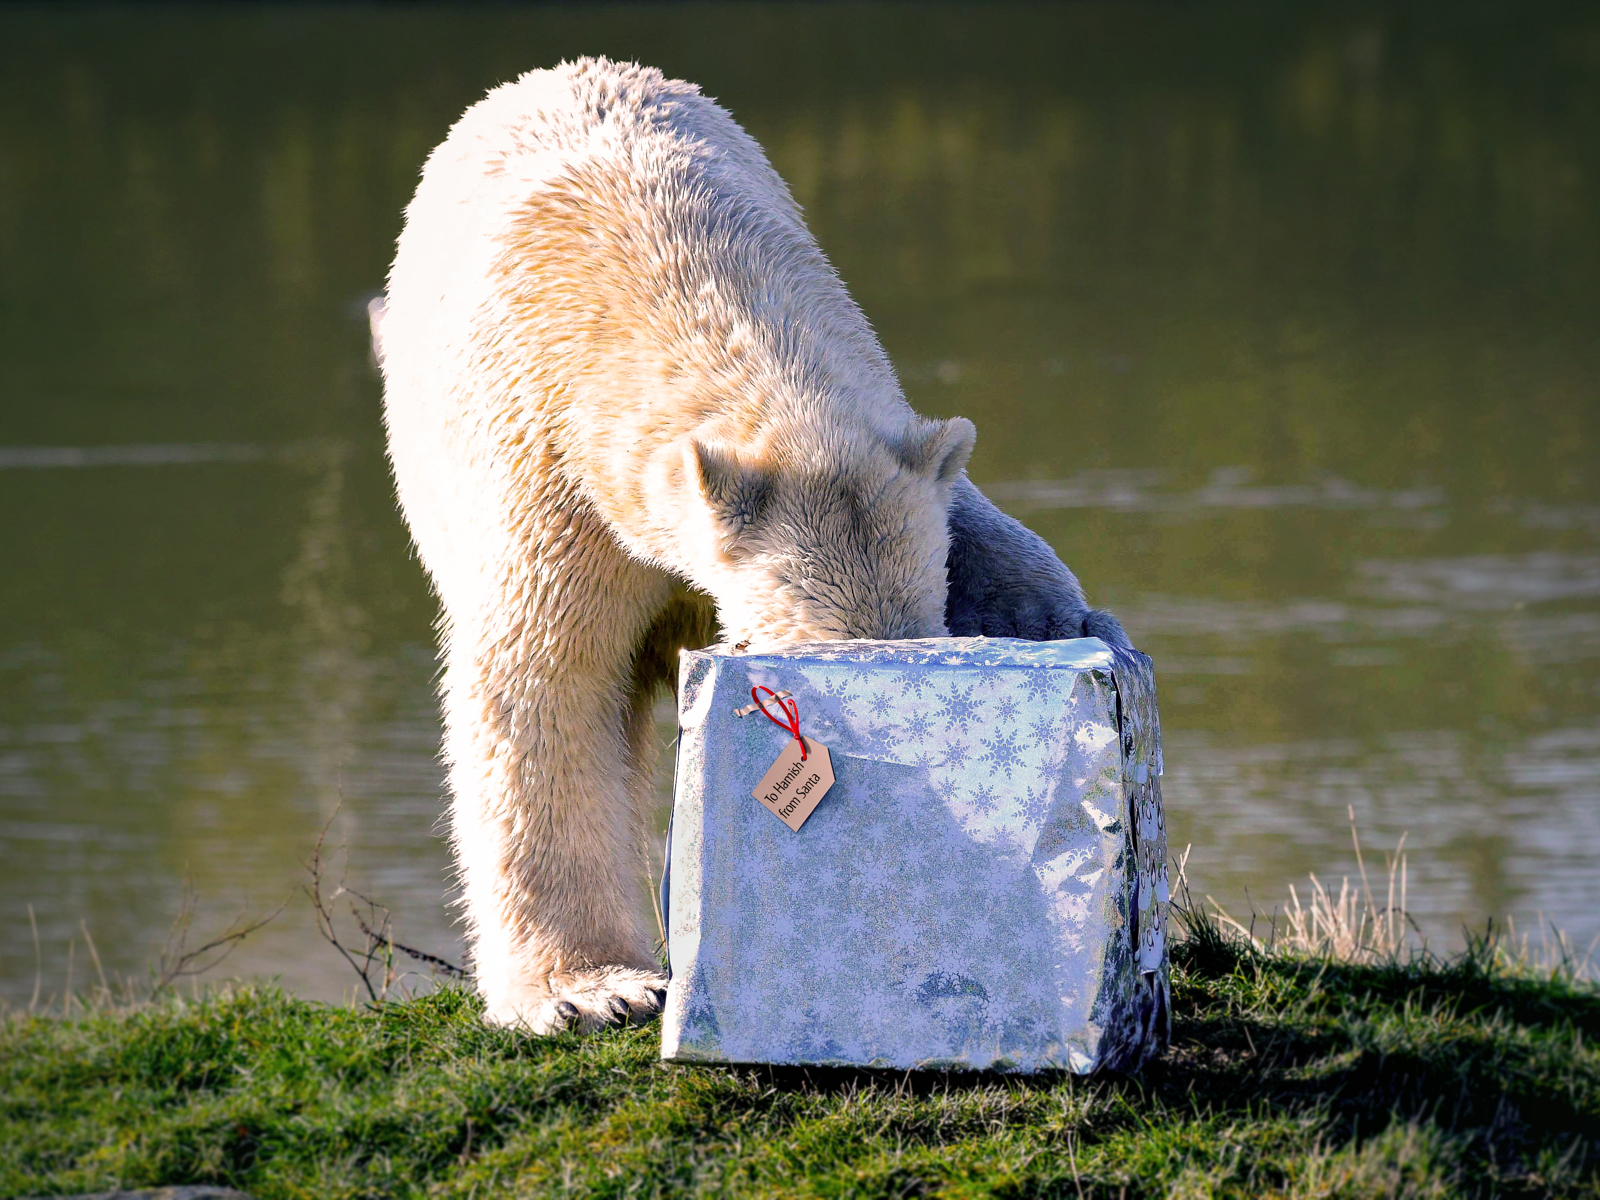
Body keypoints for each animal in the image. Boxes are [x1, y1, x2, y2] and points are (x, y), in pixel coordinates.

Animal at [374, 56, 1126, 1036]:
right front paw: (592, 988)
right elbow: (544, 681)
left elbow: (977, 525)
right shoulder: (553, 482)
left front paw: (1062, 625)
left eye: (926, 630)